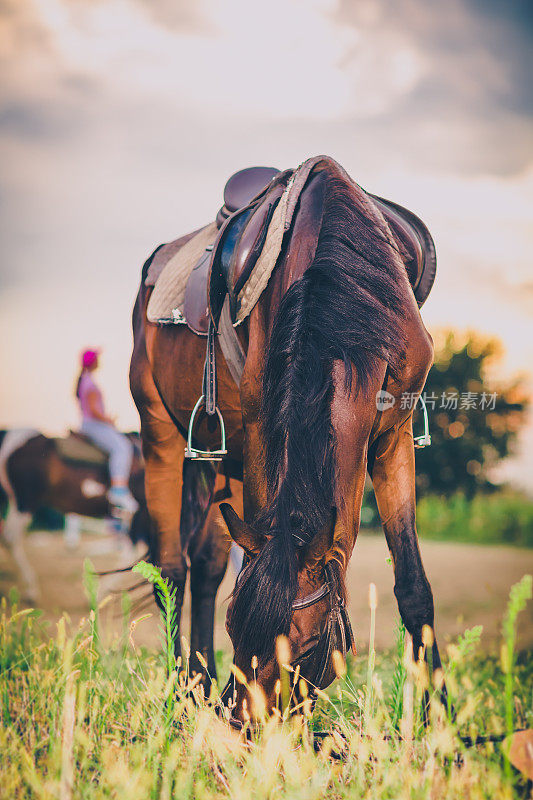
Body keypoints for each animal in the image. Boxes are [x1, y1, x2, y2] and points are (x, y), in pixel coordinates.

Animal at [0, 432, 149, 600]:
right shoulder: (140, 514)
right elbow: (133, 555)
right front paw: (101, 592)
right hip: (25, 501)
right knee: (11, 539)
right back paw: (31, 588)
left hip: (16, 501)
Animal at [130, 155, 444, 720]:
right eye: (237, 631)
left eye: (306, 646)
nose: (245, 724)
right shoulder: (262, 433)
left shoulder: (394, 437)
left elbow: (413, 587)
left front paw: (440, 724)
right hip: (158, 432)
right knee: (171, 569)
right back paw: (180, 693)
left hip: (225, 461)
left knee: (205, 566)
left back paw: (199, 684)